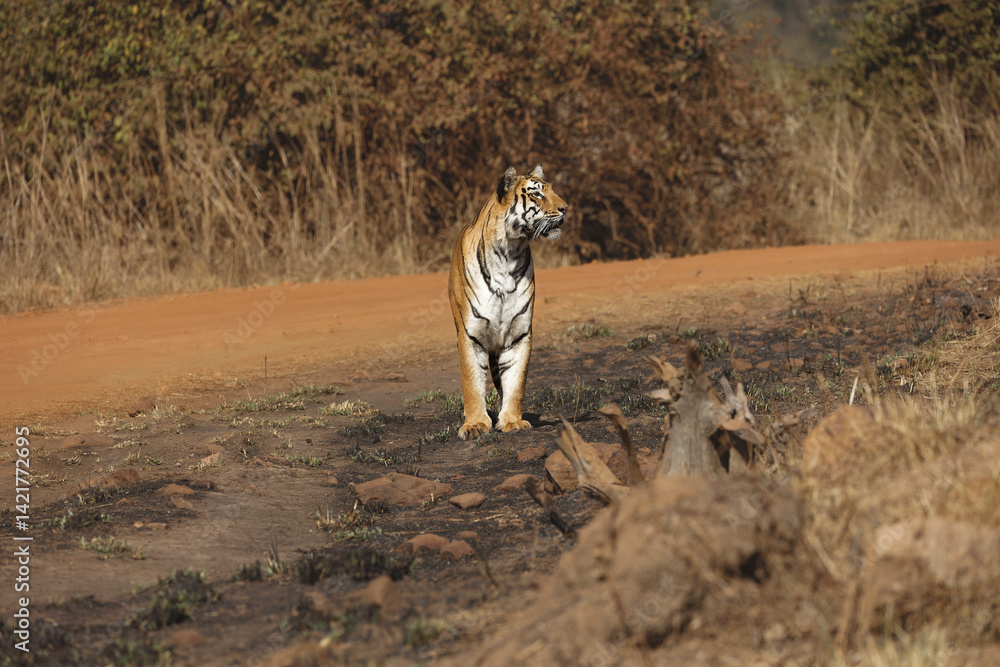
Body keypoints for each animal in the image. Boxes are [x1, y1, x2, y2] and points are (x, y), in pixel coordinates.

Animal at [448, 164, 568, 440]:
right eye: (537, 194)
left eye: (552, 190)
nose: (566, 208)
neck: (509, 251)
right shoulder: (470, 334)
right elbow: (471, 382)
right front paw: (474, 425)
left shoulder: (518, 333)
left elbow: (516, 381)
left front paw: (512, 421)